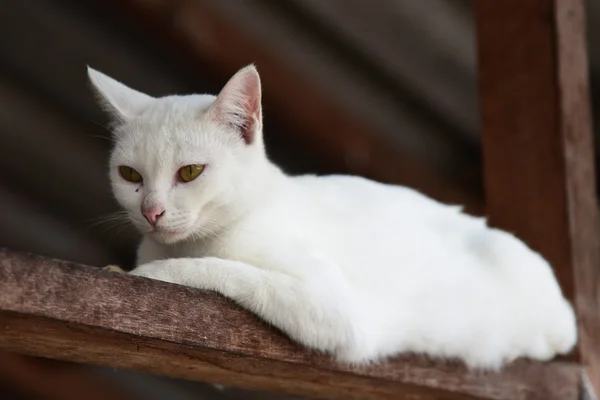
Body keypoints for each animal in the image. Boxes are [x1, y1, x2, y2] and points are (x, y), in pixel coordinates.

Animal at [88, 65, 576, 368]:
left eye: (189, 172)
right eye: (130, 175)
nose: (151, 211)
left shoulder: (338, 312)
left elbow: (222, 269)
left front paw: (150, 272)